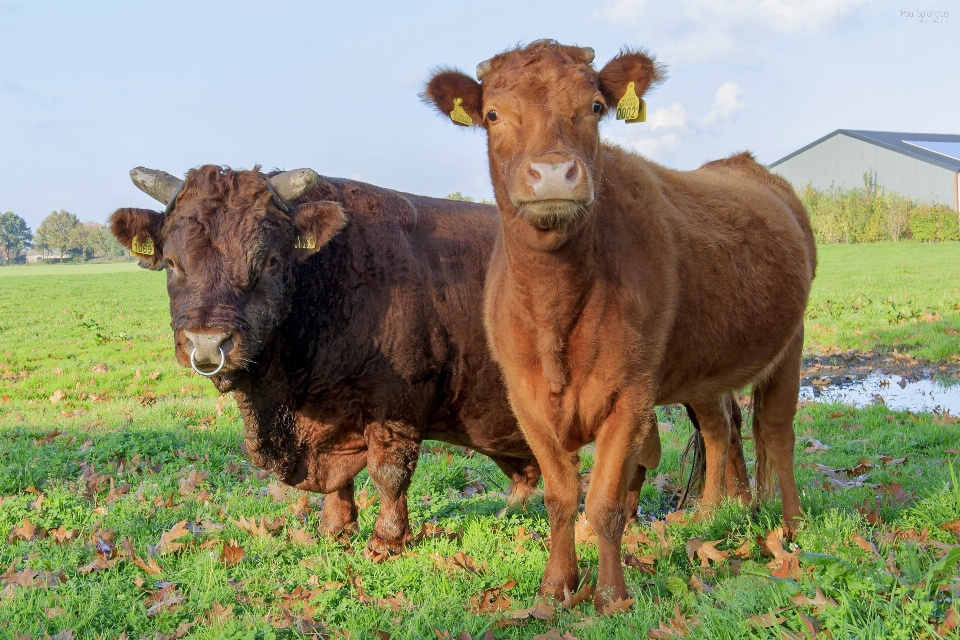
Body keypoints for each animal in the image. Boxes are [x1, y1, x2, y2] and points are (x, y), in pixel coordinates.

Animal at [108, 165, 544, 556]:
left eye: (270, 261)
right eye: (172, 262)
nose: (208, 342)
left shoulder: (397, 407)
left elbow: (389, 473)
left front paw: (386, 540)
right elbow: (339, 479)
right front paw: (335, 528)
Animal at [424, 42, 812, 612]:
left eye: (594, 107)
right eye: (493, 114)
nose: (554, 172)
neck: (554, 313)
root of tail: (746, 164)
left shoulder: (631, 392)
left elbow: (604, 500)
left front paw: (610, 596)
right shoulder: (525, 398)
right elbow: (561, 497)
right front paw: (555, 587)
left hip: (790, 345)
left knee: (777, 432)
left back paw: (792, 525)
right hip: (702, 370)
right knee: (719, 428)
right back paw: (706, 515)